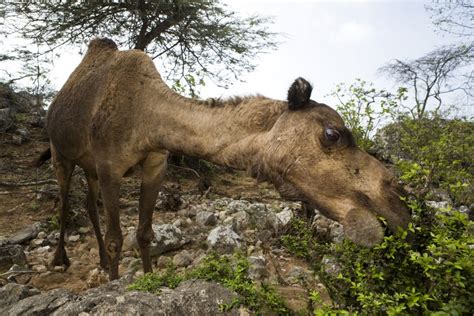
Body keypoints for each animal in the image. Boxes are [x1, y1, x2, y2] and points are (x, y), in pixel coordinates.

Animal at [41, 38, 412, 280]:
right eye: (332, 134)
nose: (399, 203)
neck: (147, 116)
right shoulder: (109, 166)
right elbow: (118, 237)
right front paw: (116, 284)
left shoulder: (156, 163)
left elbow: (145, 233)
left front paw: (147, 278)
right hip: (61, 152)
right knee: (64, 202)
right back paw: (61, 260)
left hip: (87, 166)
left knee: (88, 205)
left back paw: (102, 262)